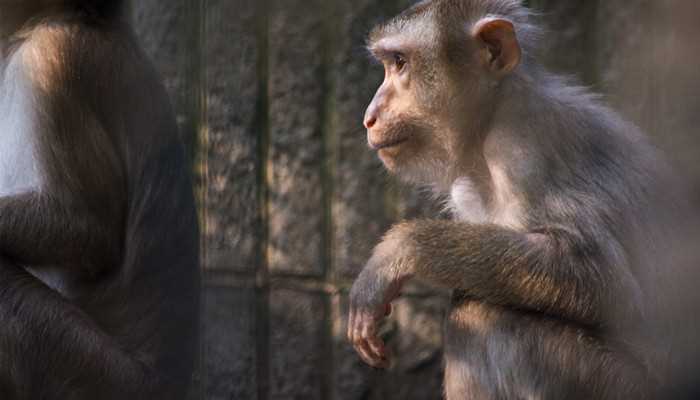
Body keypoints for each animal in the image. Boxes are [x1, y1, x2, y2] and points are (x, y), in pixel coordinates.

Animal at [348, 0, 696, 400]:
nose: (369, 117)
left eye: (401, 62)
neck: (491, 120)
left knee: (482, 313)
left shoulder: (524, 151)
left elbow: (602, 278)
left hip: (618, 385)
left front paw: (398, 251)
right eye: (390, 64)